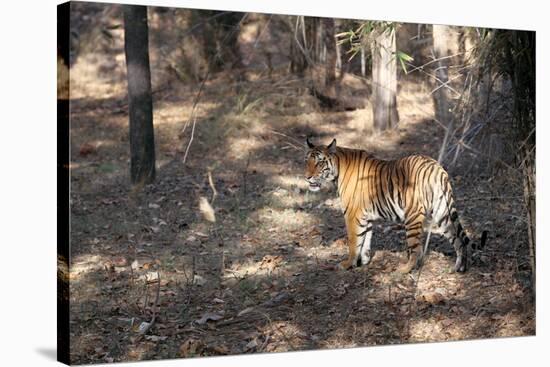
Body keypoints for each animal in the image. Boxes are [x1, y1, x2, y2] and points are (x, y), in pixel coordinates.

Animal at [304, 138, 490, 274]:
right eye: (307, 161)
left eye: (320, 163)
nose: (307, 177)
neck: (338, 168)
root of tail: (436, 167)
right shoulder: (365, 217)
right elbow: (365, 240)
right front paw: (364, 262)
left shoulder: (352, 215)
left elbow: (353, 242)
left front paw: (347, 264)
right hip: (443, 213)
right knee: (459, 241)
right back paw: (459, 268)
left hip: (413, 217)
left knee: (416, 249)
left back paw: (403, 270)